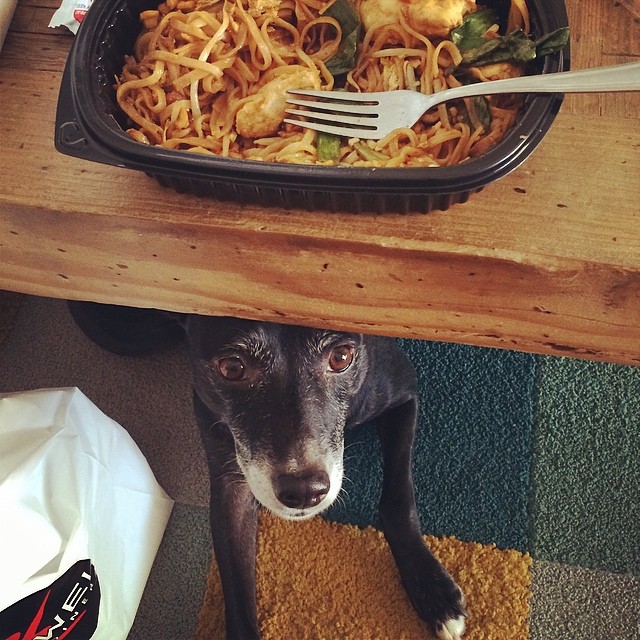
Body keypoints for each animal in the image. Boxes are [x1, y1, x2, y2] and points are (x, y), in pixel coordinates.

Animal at [67, 304, 464, 640]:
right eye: (232, 367)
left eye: (341, 357)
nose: (304, 491)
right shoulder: (233, 486)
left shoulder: (404, 396)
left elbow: (398, 498)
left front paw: (433, 590)